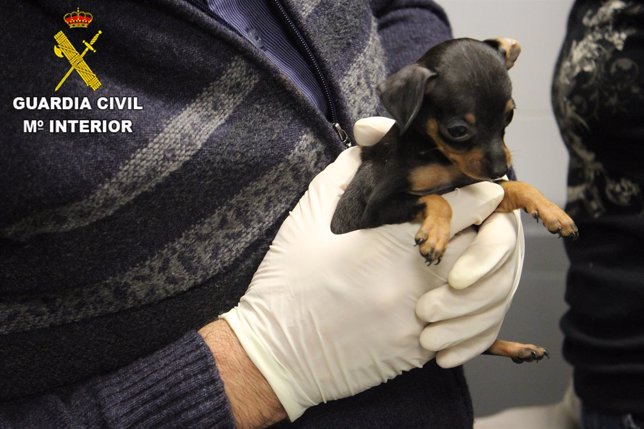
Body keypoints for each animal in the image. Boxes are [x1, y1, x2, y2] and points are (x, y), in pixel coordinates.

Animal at [332, 38, 580, 362]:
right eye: (458, 130)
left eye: (510, 115)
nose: (500, 168)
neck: (439, 156)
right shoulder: (378, 207)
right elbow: (440, 200)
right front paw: (435, 236)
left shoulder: (478, 187)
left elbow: (516, 188)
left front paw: (552, 212)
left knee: (479, 344)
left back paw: (519, 348)